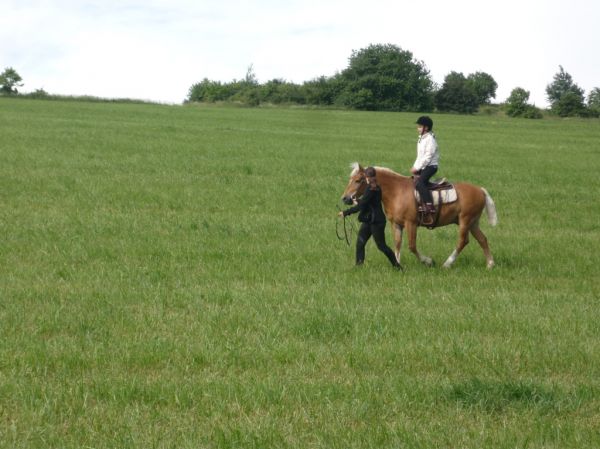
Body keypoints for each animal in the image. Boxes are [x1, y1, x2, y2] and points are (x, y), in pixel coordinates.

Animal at [342, 164, 496, 270]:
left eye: (358, 180)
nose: (345, 198)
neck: (397, 191)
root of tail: (480, 190)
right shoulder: (396, 224)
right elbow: (397, 243)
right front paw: (397, 262)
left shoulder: (411, 224)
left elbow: (412, 246)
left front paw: (428, 261)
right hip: (472, 222)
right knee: (482, 239)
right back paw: (490, 264)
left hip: (465, 220)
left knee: (463, 241)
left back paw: (447, 263)